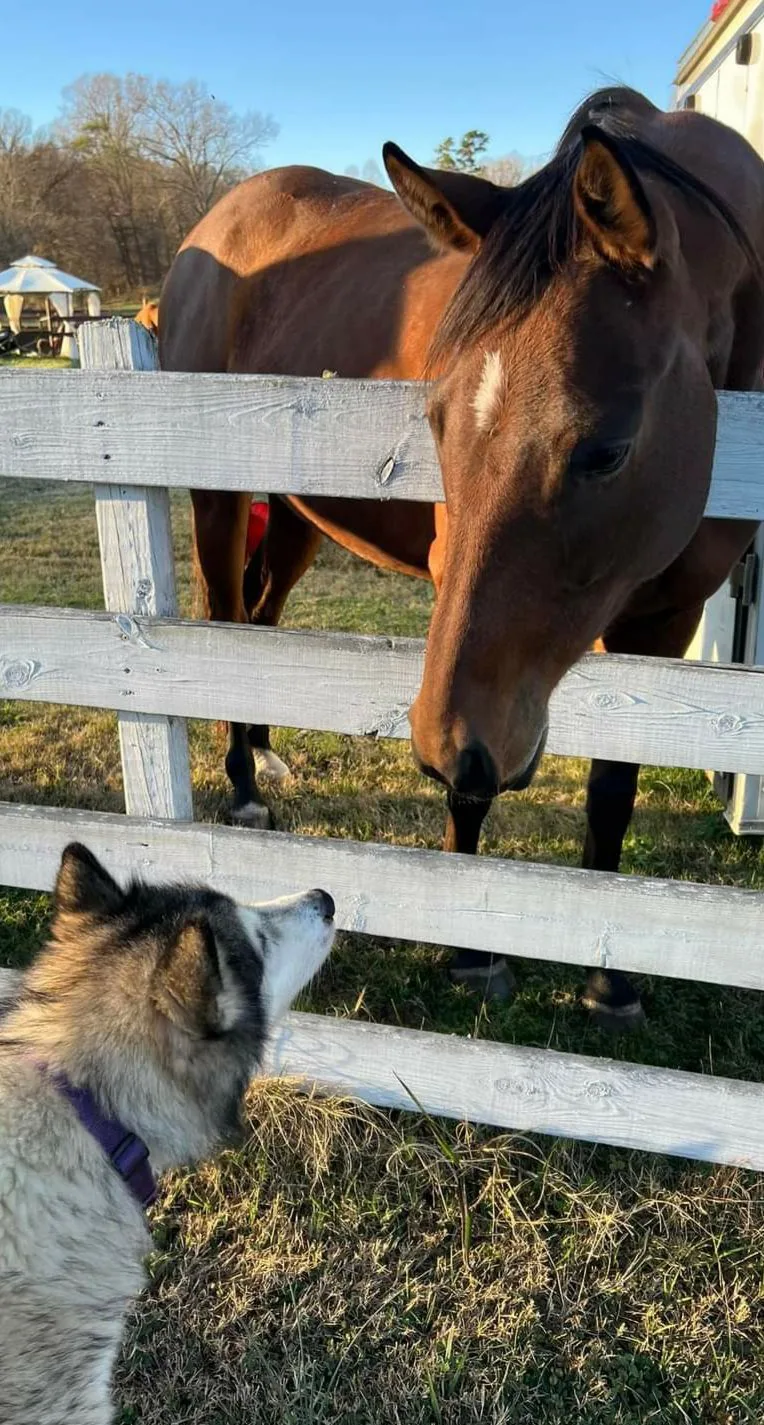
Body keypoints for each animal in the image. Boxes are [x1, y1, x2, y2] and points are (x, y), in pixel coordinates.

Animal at [159, 87, 764, 1028]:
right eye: (437, 419)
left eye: (607, 449)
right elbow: (468, 779)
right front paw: (470, 949)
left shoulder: (666, 617)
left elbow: (613, 788)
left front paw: (610, 978)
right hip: (220, 503)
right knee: (227, 624)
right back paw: (244, 788)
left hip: (295, 519)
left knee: (260, 618)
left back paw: (264, 755)